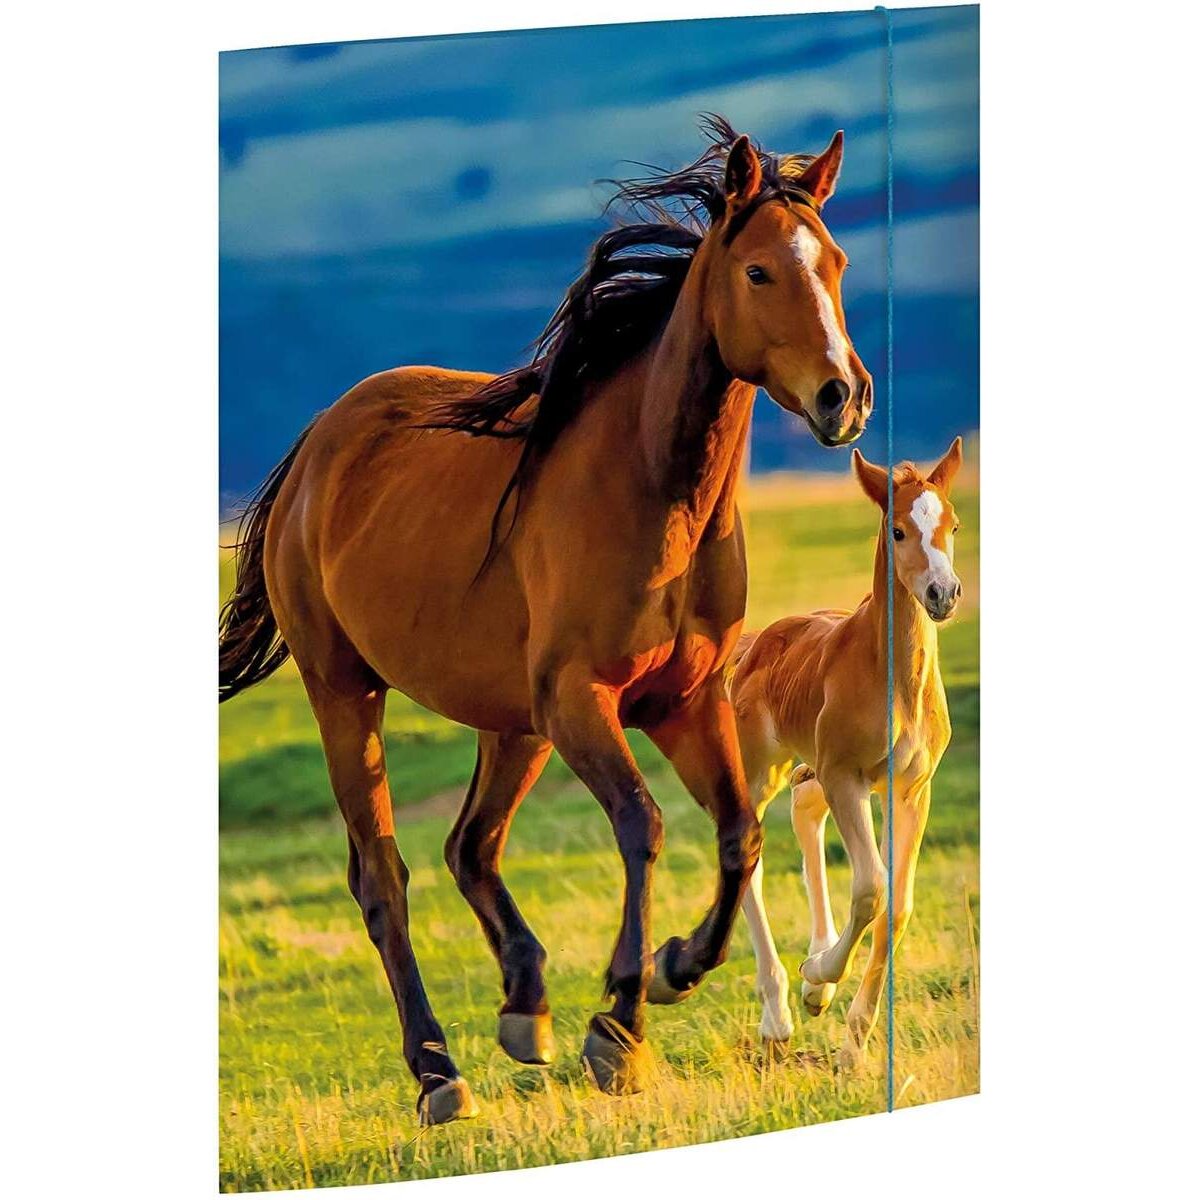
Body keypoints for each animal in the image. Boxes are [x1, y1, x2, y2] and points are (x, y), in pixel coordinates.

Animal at [218, 115, 873, 1124]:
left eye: (834, 261)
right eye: (761, 271)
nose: (845, 396)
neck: (652, 492)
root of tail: (316, 449)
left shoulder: (683, 703)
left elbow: (739, 834)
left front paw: (675, 968)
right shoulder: (582, 702)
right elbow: (643, 826)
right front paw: (622, 1024)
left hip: (510, 721)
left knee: (471, 847)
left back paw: (525, 1009)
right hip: (348, 693)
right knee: (384, 876)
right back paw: (438, 1072)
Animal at [728, 438, 962, 1062]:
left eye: (953, 525)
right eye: (899, 531)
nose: (944, 594)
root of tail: (753, 645)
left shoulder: (910, 789)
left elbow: (898, 906)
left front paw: (854, 1043)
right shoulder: (847, 776)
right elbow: (871, 889)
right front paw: (818, 977)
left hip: (811, 768)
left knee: (804, 810)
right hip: (763, 769)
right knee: (749, 853)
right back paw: (779, 1014)